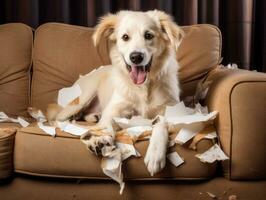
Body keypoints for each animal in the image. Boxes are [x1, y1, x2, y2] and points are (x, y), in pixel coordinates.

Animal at [47, 9, 183, 175]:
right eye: (125, 37)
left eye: (148, 35)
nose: (136, 57)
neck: (143, 88)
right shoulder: (114, 111)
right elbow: (107, 125)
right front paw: (100, 140)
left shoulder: (174, 112)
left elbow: (160, 124)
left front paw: (155, 153)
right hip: (82, 98)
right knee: (56, 118)